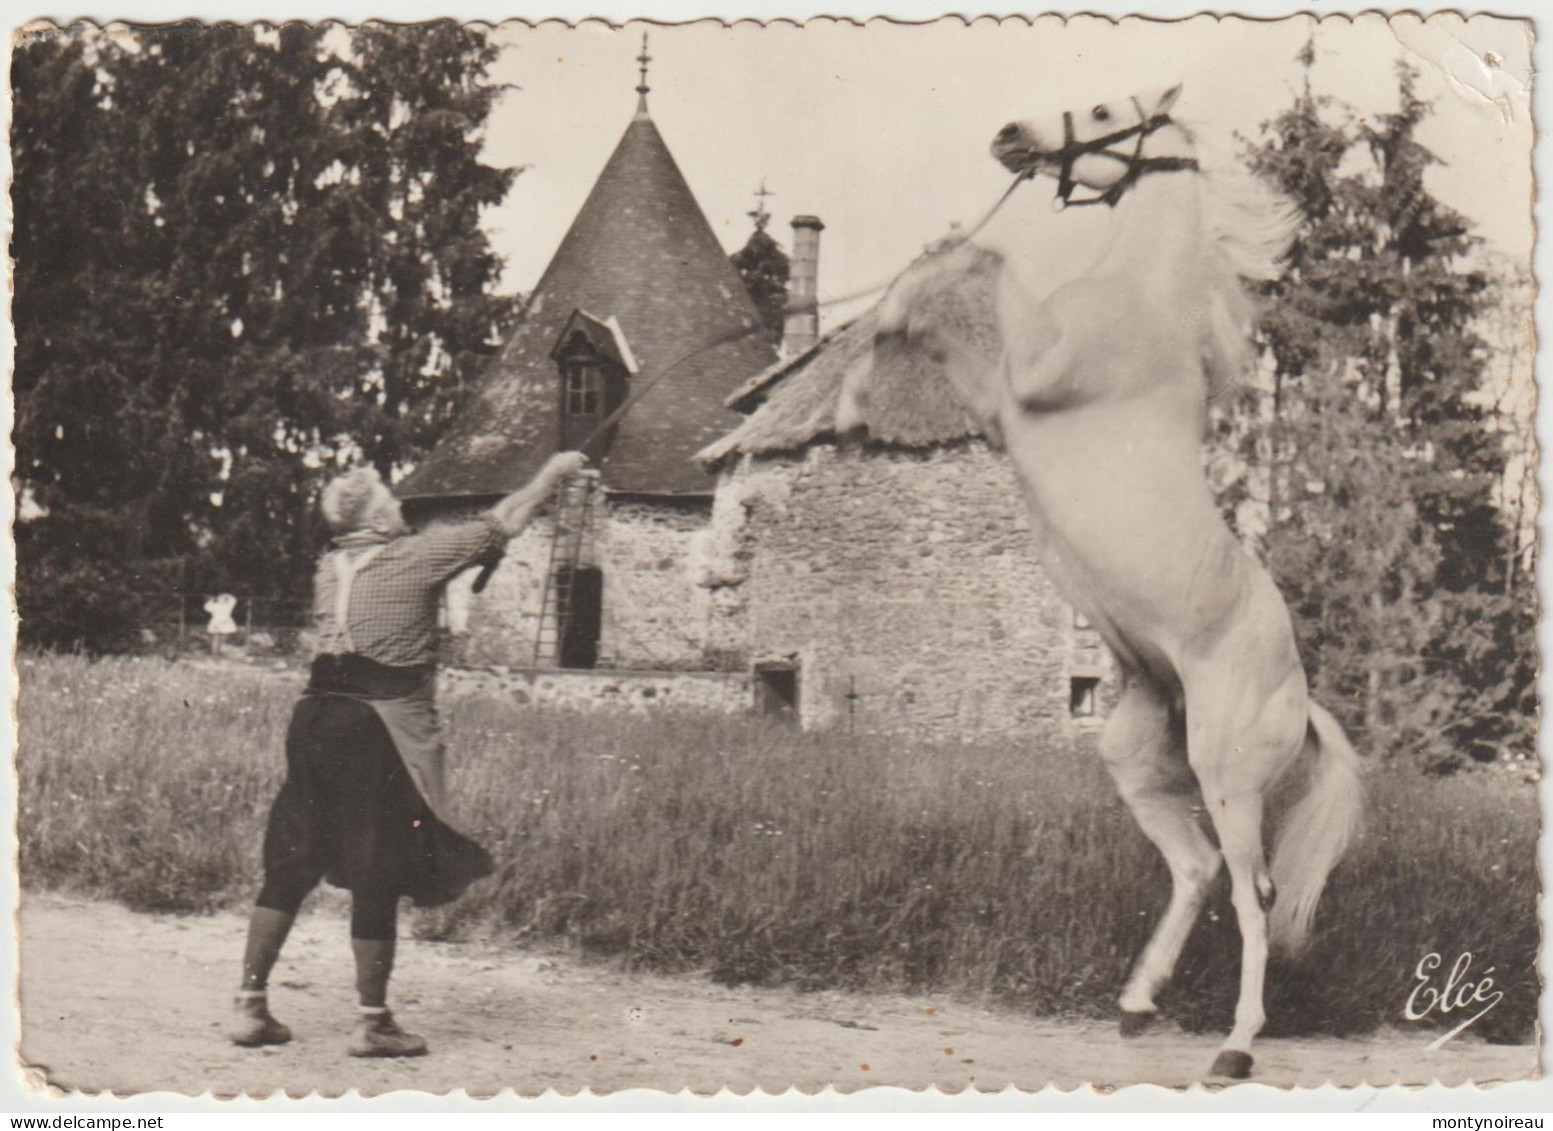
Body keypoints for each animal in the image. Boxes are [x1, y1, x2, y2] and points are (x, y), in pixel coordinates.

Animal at [869, 86, 1366, 1075]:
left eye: (1101, 109)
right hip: (1136, 760)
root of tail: (1299, 702)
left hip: (1228, 776)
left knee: (1251, 894)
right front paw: (896, 308)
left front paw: (922, 279)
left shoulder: (1029, 379)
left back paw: (1235, 1047)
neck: (1142, 295)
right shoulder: (1000, 410)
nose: (1009, 137)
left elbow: (994, 272)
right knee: (1197, 868)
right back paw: (1136, 1002)